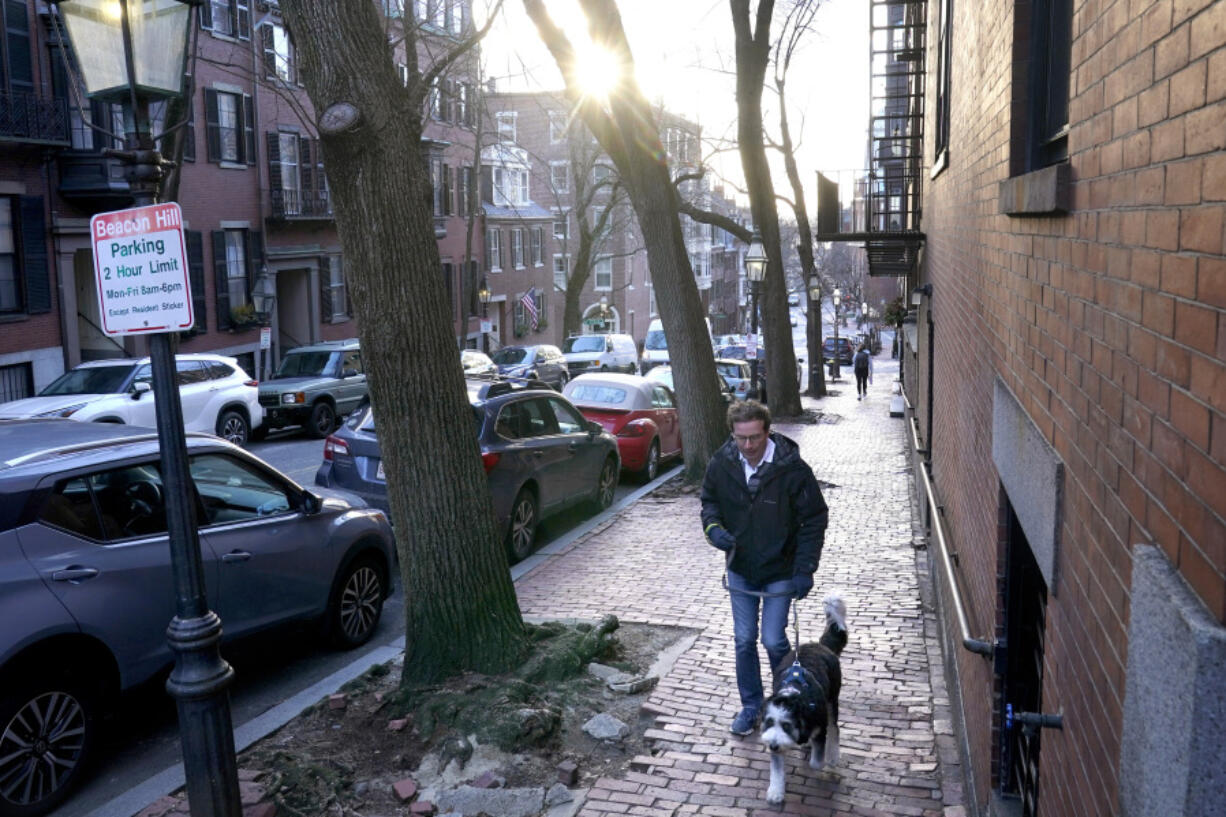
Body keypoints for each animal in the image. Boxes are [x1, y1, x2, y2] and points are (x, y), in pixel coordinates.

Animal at [755, 591, 843, 799]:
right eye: (769, 722)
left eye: (787, 725)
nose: (773, 746)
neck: (794, 694)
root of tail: (819, 645)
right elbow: (776, 769)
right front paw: (776, 792)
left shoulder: (819, 728)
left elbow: (816, 761)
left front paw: (819, 758)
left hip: (832, 701)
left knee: (835, 729)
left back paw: (832, 757)